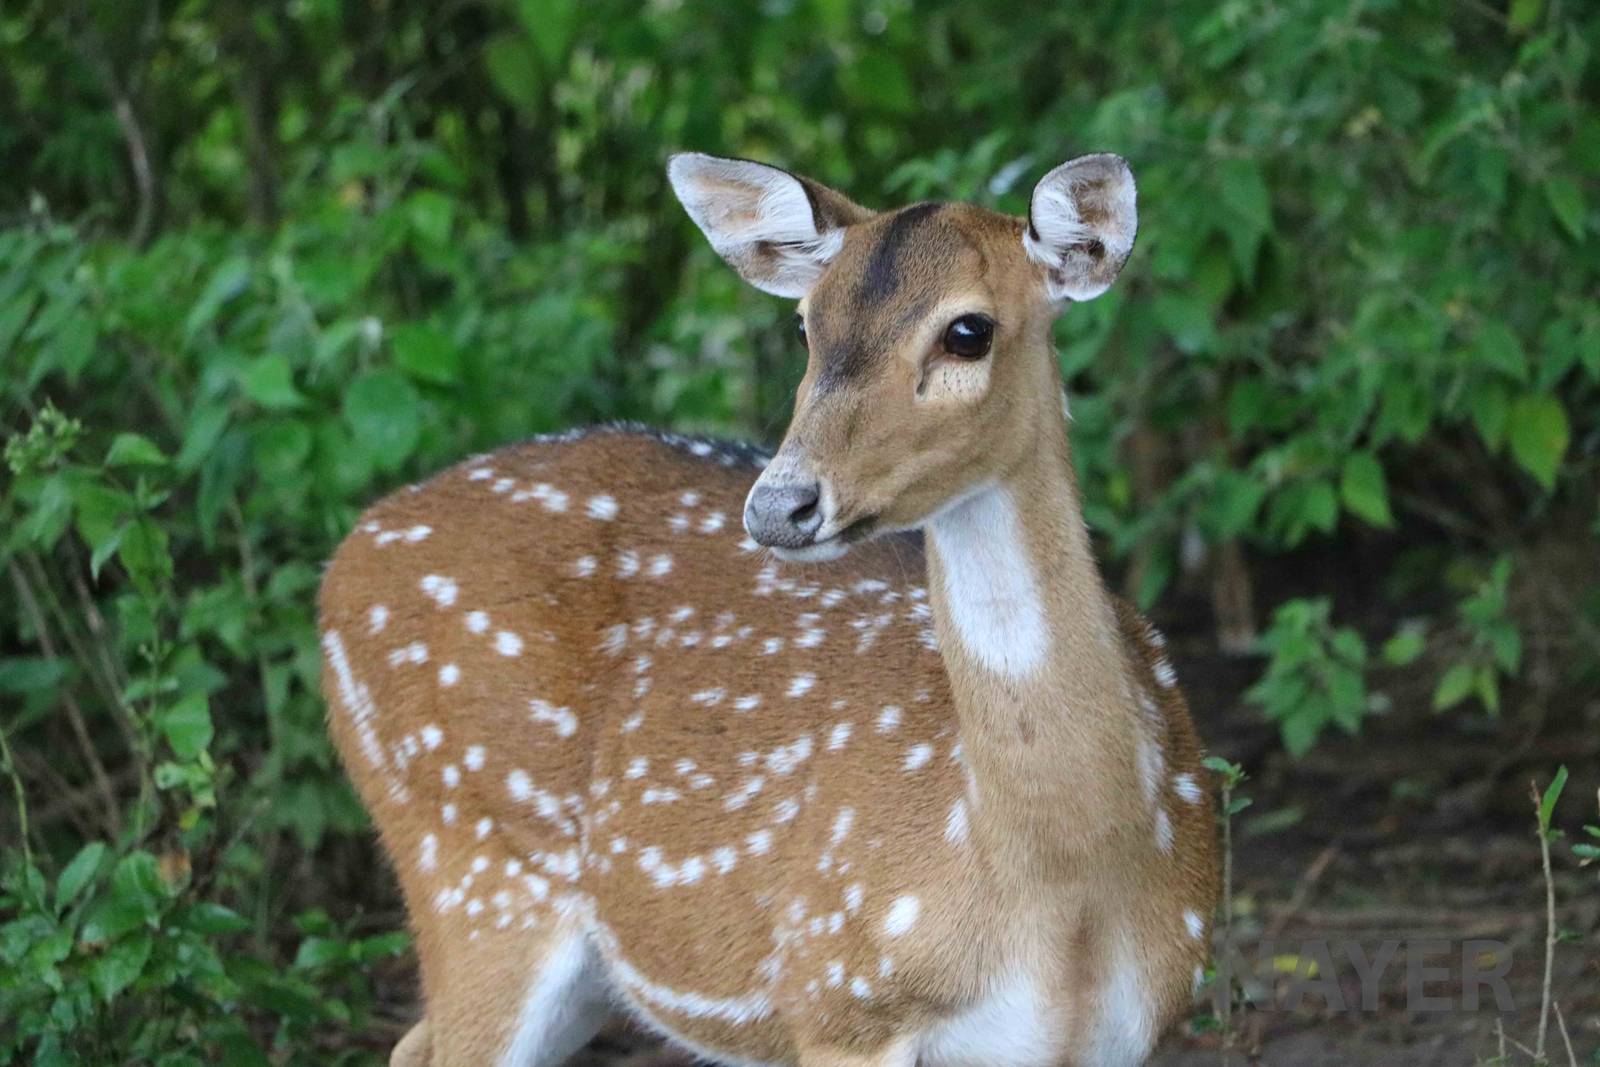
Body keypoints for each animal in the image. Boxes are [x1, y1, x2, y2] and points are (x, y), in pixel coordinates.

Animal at [318, 150, 1220, 1067]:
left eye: (969, 329)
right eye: (804, 327)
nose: (780, 505)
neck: (1065, 886)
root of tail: (344, 558)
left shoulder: (1131, 1027)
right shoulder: (840, 992)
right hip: (468, 868)